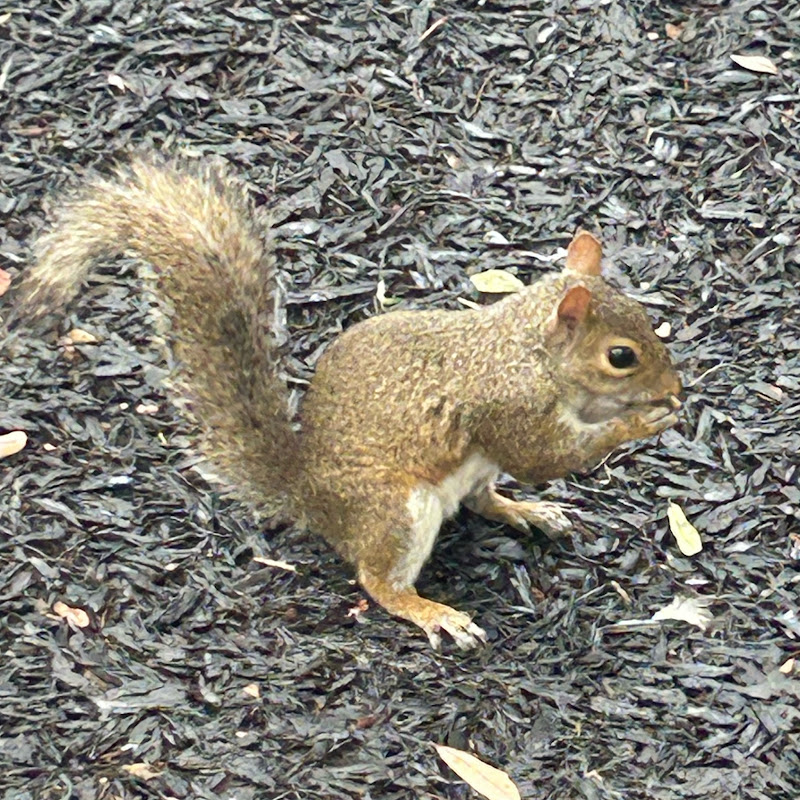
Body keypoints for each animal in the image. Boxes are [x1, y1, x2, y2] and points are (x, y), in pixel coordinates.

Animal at [15, 158, 682, 649]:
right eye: (621, 356)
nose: (674, 389)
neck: (527, 349)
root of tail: (308, 495)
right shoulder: (508, 407)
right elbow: (546, 456)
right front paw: (637, 422)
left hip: (461, 477)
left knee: (480, 500)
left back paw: (526, 511)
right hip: (394, 510)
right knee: (376, 579)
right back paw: (430, 610)